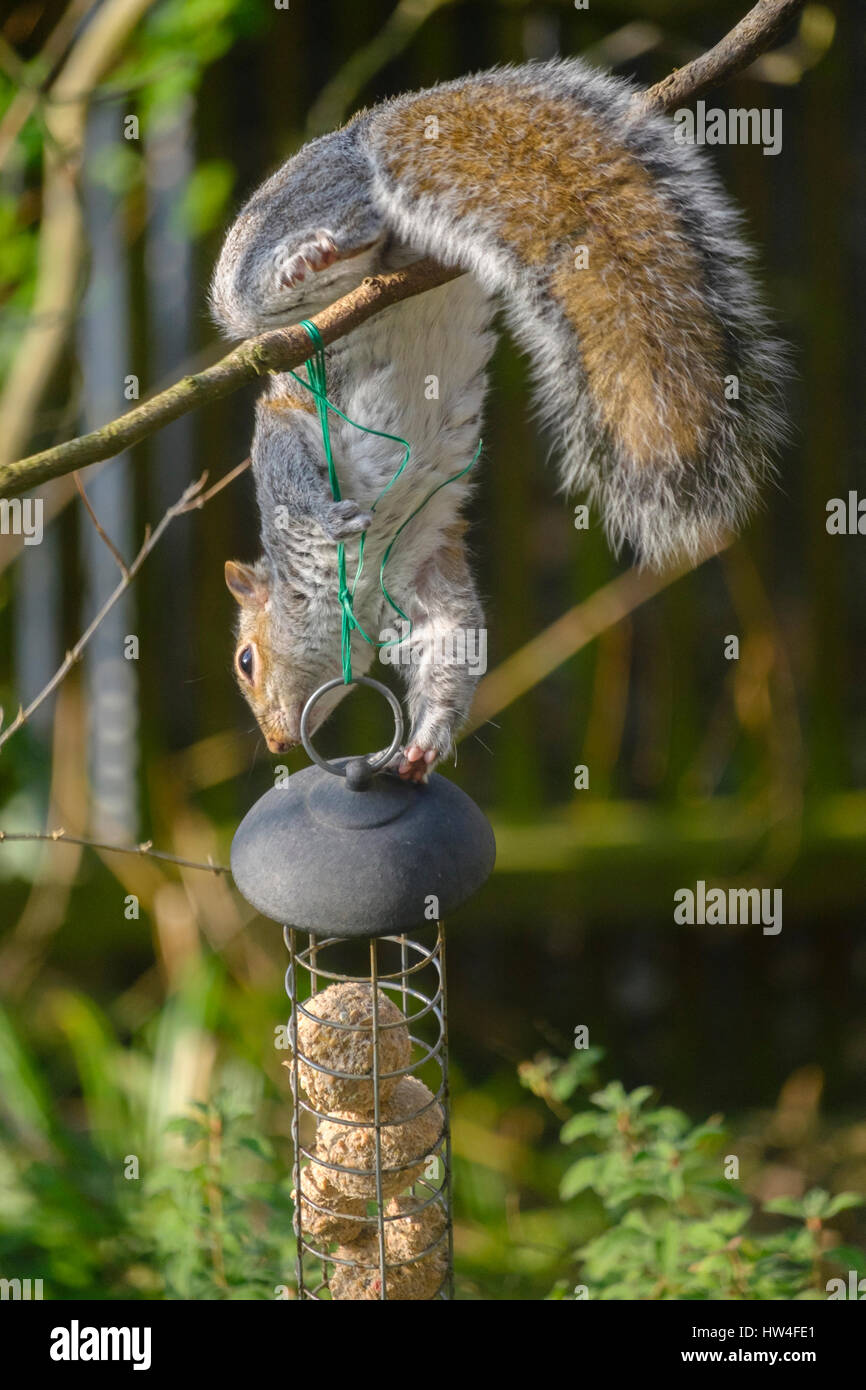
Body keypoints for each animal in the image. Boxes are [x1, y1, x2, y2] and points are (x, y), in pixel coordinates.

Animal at [211, 57, 787, 782]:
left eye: (245, 662)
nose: (278, 745)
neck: (357, 578)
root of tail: (362, 127)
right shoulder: (421, 564)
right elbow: (452, 636)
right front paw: (425, 742)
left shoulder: (296, 440)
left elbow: (290, 483)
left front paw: (327, 518)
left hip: (275, 244)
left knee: (263, 285)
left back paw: (310, 258)